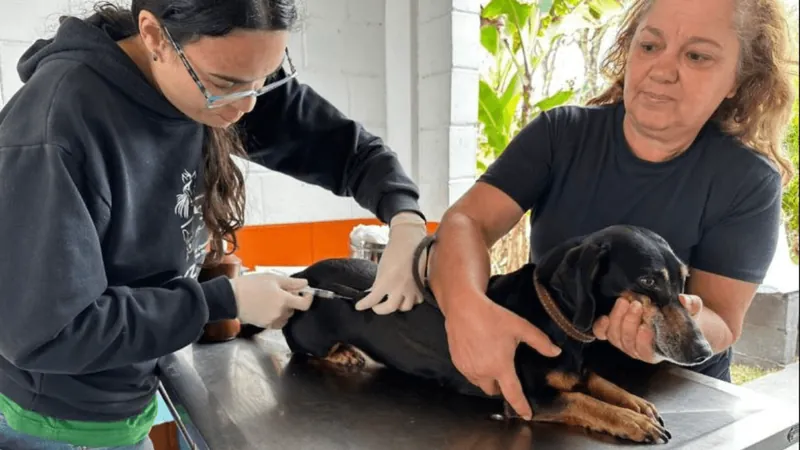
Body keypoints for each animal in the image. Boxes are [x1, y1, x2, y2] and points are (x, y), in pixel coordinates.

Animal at [239, 227, 712, 444]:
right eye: (648, 281)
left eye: (682, 279)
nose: (703, 351)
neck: (552, 314)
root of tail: (303, 276)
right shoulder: (527, 399)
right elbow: (584, 402)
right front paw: (631, 422)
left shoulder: (576, 372)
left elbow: (600, 384)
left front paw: (637, 405)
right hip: (311, 335)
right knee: (300, 348)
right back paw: (342, 354)